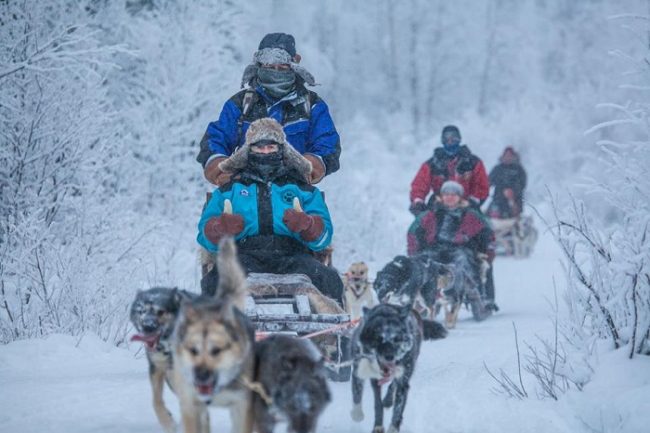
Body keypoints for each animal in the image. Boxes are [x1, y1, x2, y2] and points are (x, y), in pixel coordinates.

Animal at [129, 286, 195, 430]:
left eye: (161, 312)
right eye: (141, 311)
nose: (147, 326)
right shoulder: (156, 368)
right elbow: (156, 400)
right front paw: (167, 422)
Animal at [350, 300, 446, 432]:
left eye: (397, 338)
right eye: (378, 338)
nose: (390, 357)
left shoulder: (403, 381)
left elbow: (398, 408)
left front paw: (393, 427)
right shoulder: (371, 377)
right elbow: (375, 403)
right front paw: (376, 425)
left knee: (393, 385)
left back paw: (388, 400)